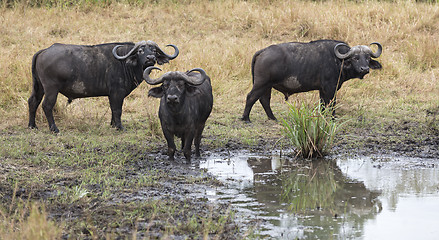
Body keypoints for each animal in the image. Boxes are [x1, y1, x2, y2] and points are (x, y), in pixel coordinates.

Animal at [27, 40, 179, 132]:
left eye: (154, 51)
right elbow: (117, 110)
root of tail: (44, 51)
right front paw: (119, 127)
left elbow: (113, 110)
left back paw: (32, 125)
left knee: (33, 102)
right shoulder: (117, 93)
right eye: (141, 51)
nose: (150, 58)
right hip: (51, 89)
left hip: (39, 88)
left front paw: (113, 125)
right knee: (47, 106)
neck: (124, 62)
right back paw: (54, 128)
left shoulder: (112, 95)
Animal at [242, 39, 384, 122]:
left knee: (264, 100)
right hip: (261, 84)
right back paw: (246, 118)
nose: (364, 69)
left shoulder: (322, 90)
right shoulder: (330, 88)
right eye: (355, 57)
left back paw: (272, 118)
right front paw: (333, 118)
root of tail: (263, 51)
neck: (339, 61)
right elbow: (332, 103)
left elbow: (323, 105)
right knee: (251, 97)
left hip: (267, 86)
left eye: (367, 57)